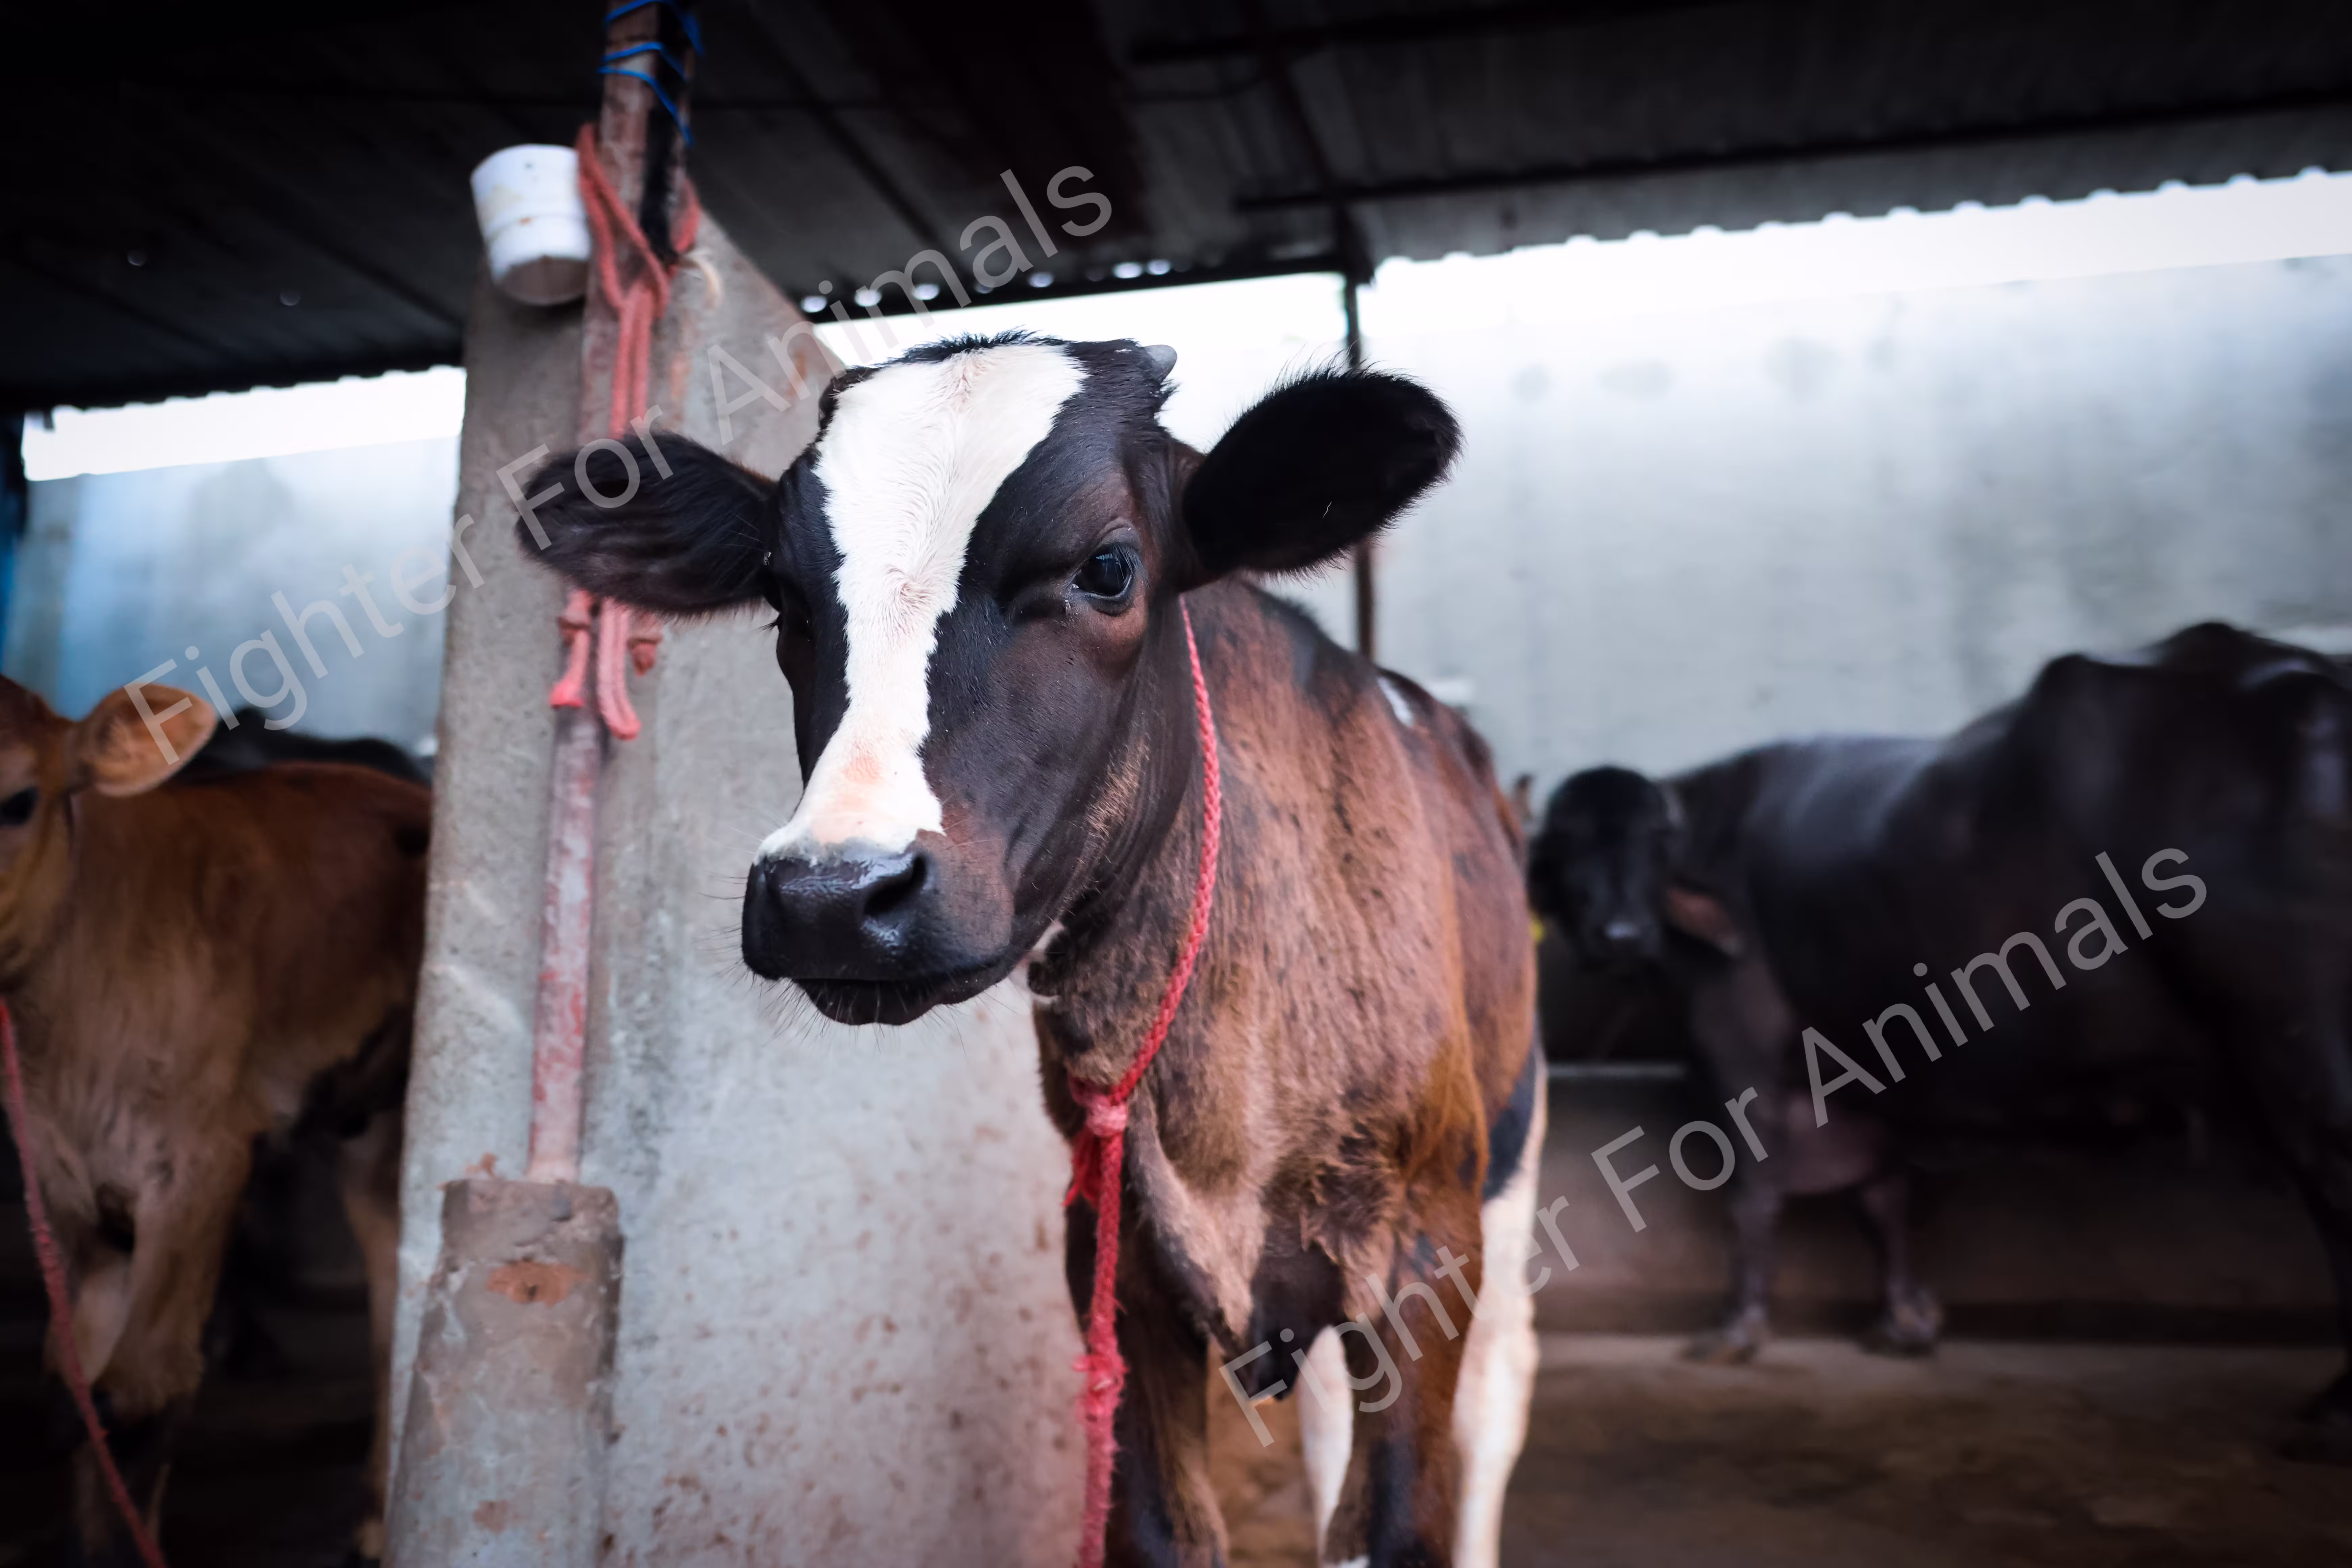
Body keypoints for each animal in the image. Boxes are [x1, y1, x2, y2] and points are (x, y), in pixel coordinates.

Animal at [0, 675, 429, 1561]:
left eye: (18, 800)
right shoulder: (62, 1179)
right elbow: (74, 1387)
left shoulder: (199, 1163)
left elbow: (144, 1388)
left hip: (389, 1111)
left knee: (391, 1274)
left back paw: (376, 1515)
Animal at [519, 334, 1545, 1565]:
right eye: (783, 597)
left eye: (1109, 568)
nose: (831, 895)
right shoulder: (1111, 1254)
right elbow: (1160, 1530)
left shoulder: (1427, 1246)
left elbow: (1398, 1522)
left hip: (1505, 1170)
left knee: (1498, 1401)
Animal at [1528, 622, 2352, 1461]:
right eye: (1566, 851)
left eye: (1654, 844)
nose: (1619, 934)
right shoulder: (1857, 1076)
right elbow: (1881, 1195)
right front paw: (1905, 1322)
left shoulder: (1739, 1044)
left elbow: (1752, 1192)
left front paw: (1734, 1331)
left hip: (2300, 1055)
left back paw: (2335, 1408)